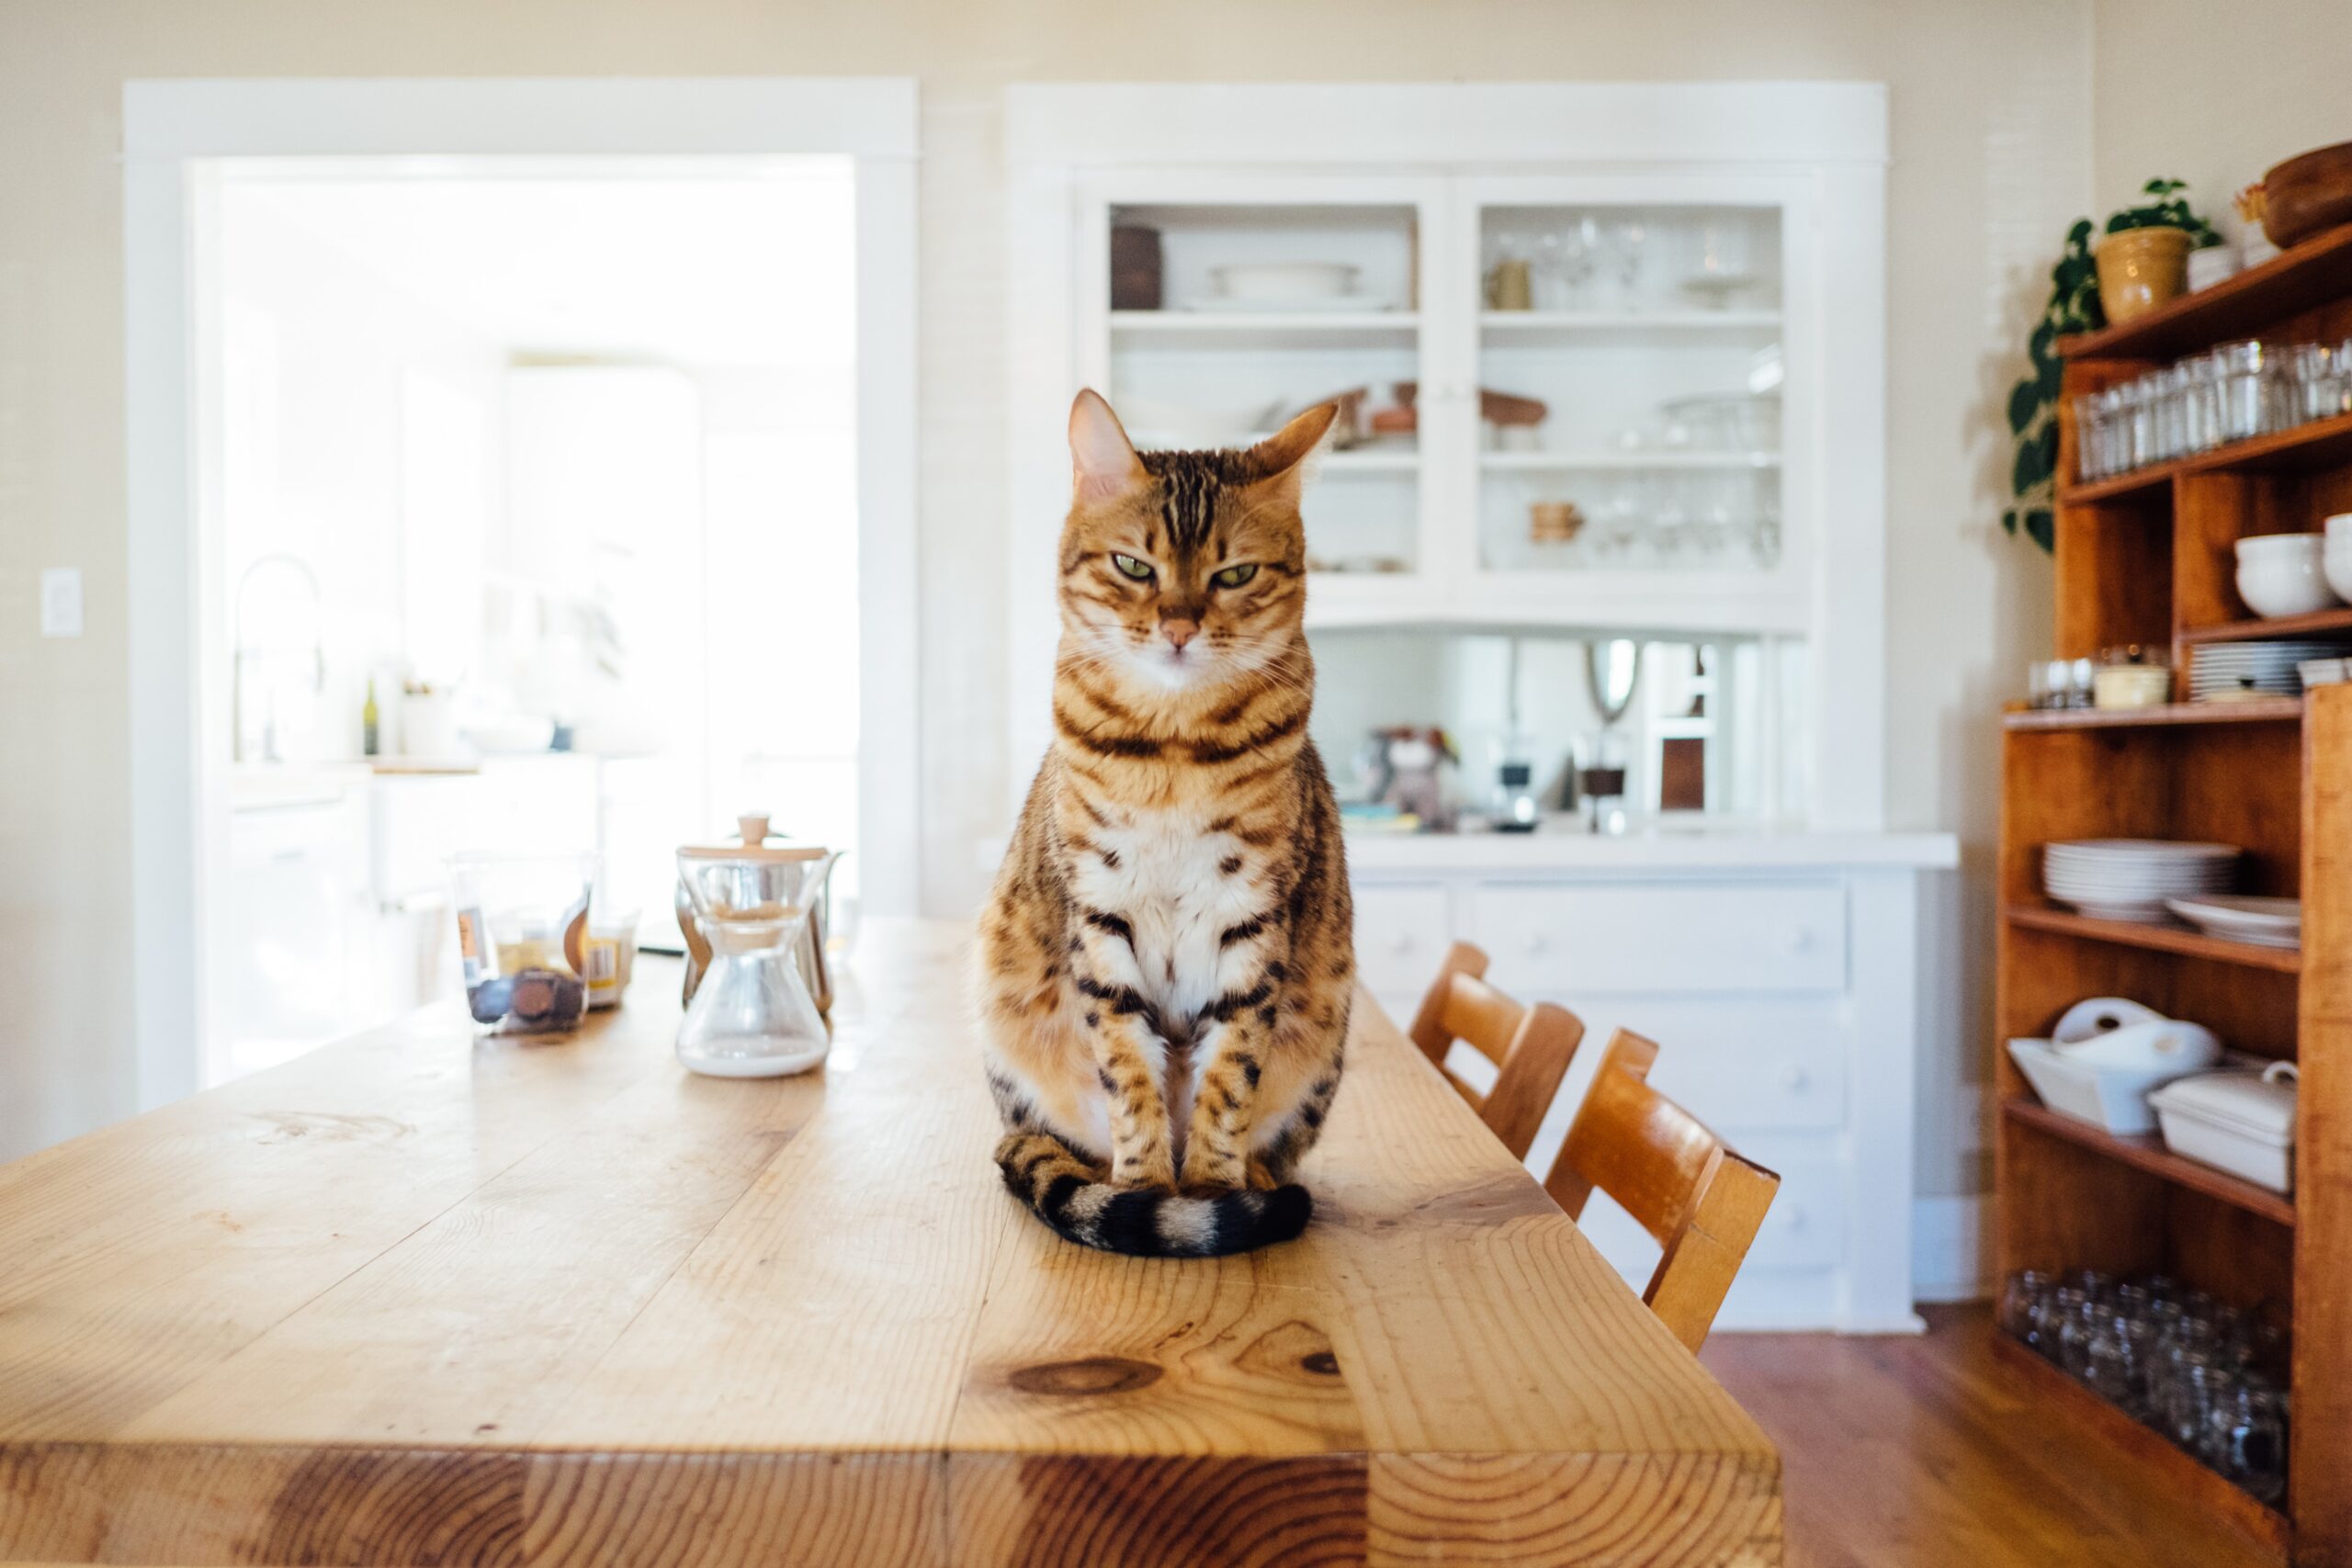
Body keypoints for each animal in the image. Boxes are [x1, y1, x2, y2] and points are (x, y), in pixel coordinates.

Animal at [973, 392, 1354, 1259]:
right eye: (1134, 567)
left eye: (1235, 573)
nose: (1179, 627)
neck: (1175, 750)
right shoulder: (1100, 911)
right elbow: (1128, 1070)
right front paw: (1146, 1188)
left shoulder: (1253, 917)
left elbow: (1230, 1074)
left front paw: (1211, 1188)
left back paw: (1256, 1182)